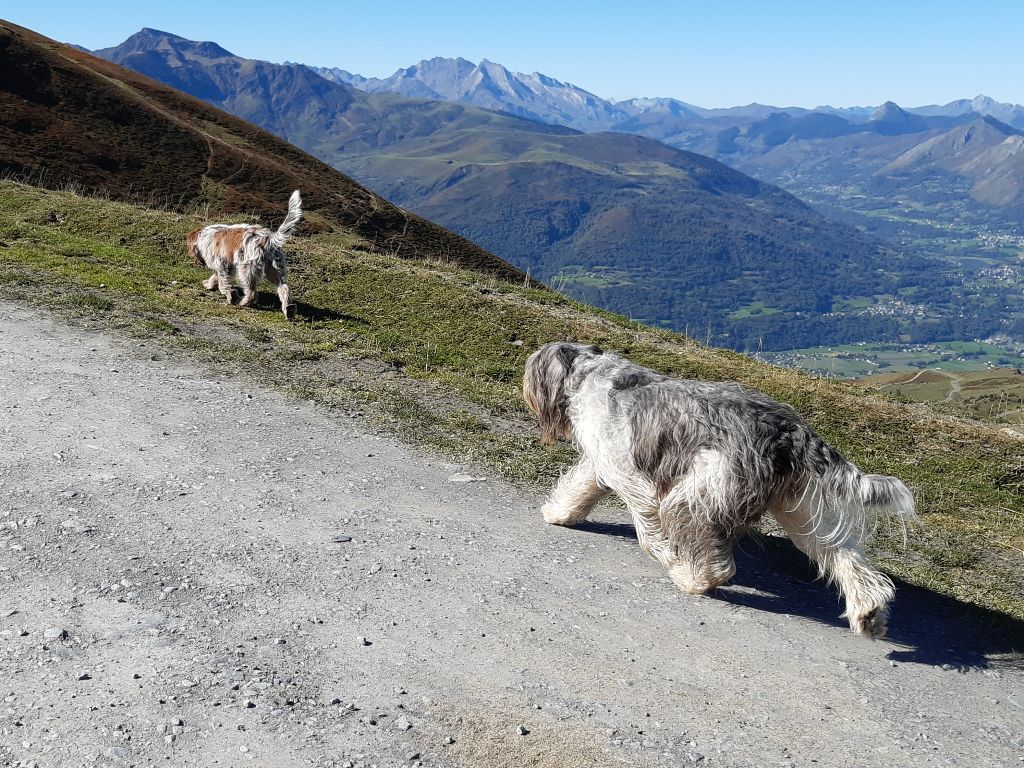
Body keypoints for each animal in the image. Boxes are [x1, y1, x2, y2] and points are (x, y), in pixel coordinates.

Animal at [187, 191, 301, 319]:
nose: (196, 263)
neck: (203, 237)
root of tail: (267, 239)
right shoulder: (228, 267)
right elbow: (216, 278)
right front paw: (209, 284)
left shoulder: (222, 265)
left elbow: (223, 283)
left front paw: (230, 295)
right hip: (275, 268)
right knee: (283, 287)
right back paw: (289, 309)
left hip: (247, 269)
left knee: (252, 293)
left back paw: (242, 302)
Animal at [524, 342, 917, 638]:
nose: (525, 385)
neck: (591, 373)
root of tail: (788, 430)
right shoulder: (601, 465)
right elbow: (580, 486)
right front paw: (560, 513)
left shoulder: (633, 480)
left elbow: (648, 531)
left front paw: (667, 555)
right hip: (802, 509)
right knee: (845, 557)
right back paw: (868, 613)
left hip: (693, 495)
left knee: (709, 555)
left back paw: (692, 578)